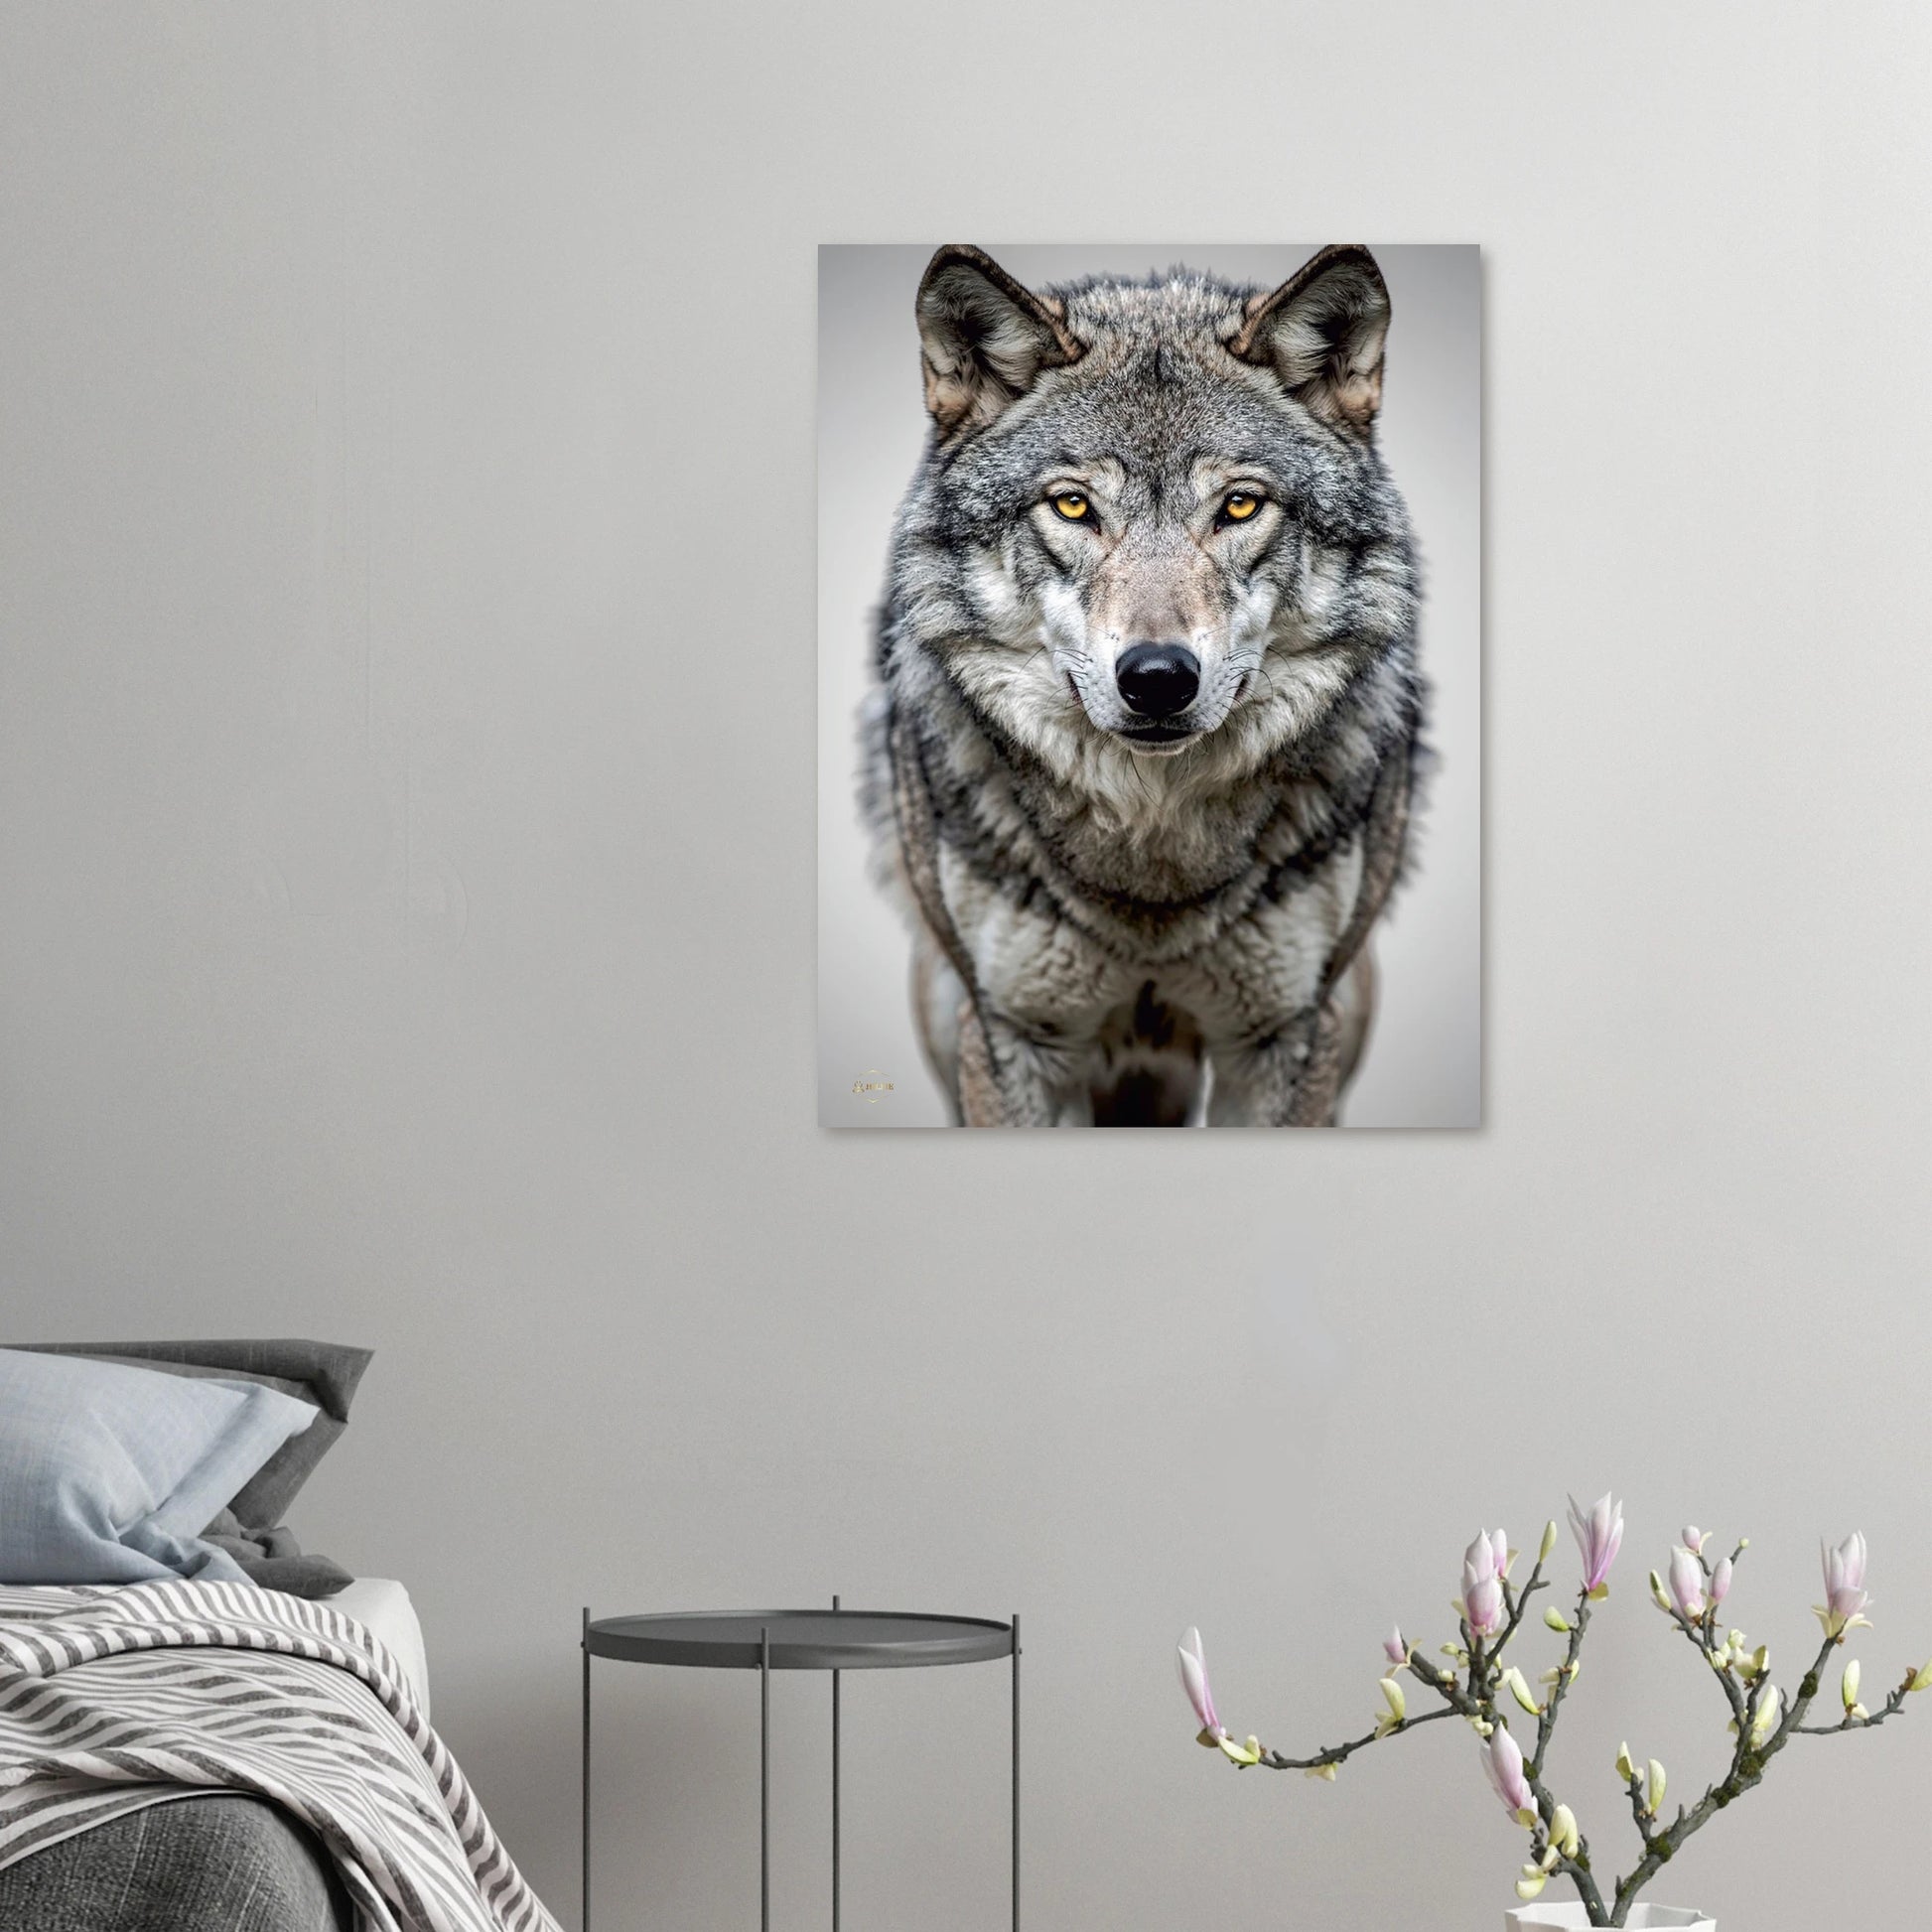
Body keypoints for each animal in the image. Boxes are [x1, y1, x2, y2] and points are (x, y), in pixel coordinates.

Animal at [859, 244, 1426, 1127]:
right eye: (1072, 505)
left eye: (1239, 505)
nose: (1158, 680)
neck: (1153, 860)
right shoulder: (1013, 1035)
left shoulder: (1284, 1037)